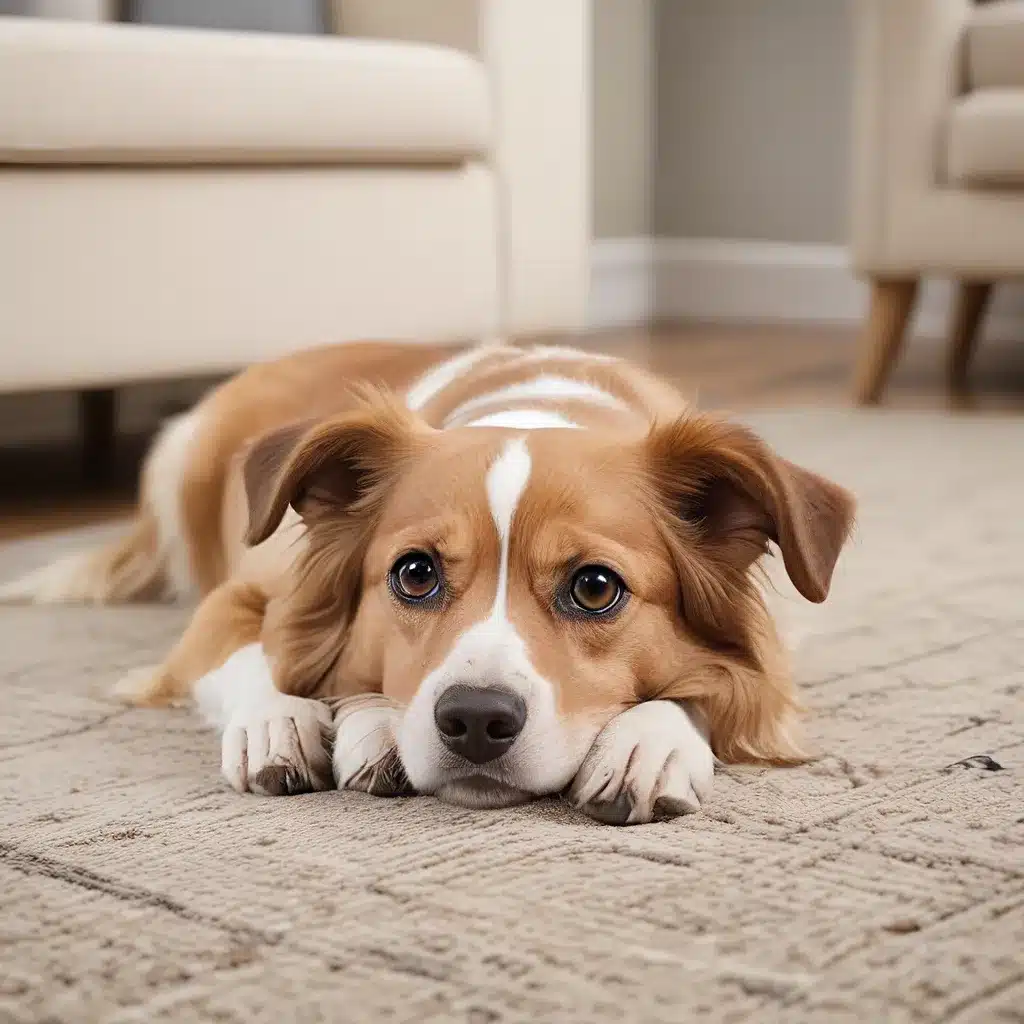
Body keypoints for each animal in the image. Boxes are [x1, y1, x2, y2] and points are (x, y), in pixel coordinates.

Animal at [2, 342, 856, 823]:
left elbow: (722, 683)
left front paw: (648, 741)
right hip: (181, 458)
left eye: (594, 588)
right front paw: (288, 721)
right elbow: (257, 654)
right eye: (415, 574)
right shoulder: (235, 600)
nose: (475, 721)